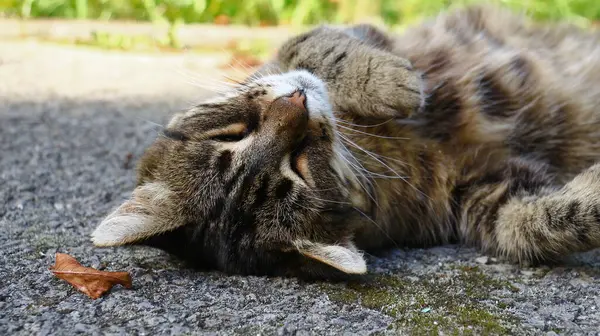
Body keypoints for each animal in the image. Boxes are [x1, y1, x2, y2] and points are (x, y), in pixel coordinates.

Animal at [89, 4, 600, 278]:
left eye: (232, 135)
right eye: (299, 163)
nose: (296, 101)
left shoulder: (334, 38)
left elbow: (317, 45)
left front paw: (391, 82)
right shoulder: (488, 193)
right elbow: (537, 226)